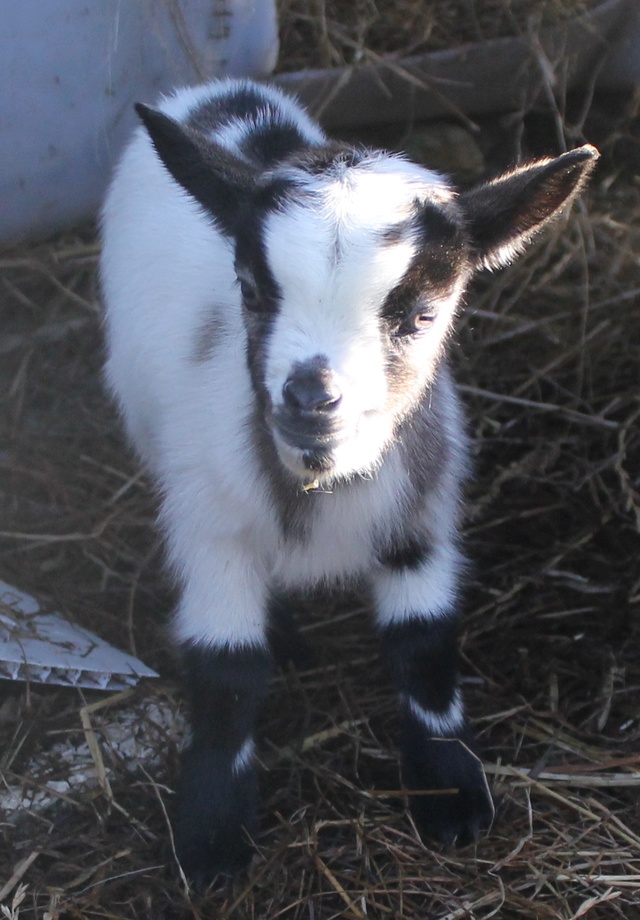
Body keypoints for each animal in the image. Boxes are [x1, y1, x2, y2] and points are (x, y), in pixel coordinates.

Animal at [99, 79, 596, 884]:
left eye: (422, 315)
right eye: (249, 291)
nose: (310, 398)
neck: (321, 485)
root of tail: (219, 92)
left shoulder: (419, 517)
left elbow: (424, 644)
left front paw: (451, 796)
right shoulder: (211, 527)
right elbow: (228, 671)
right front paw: (211, 838)